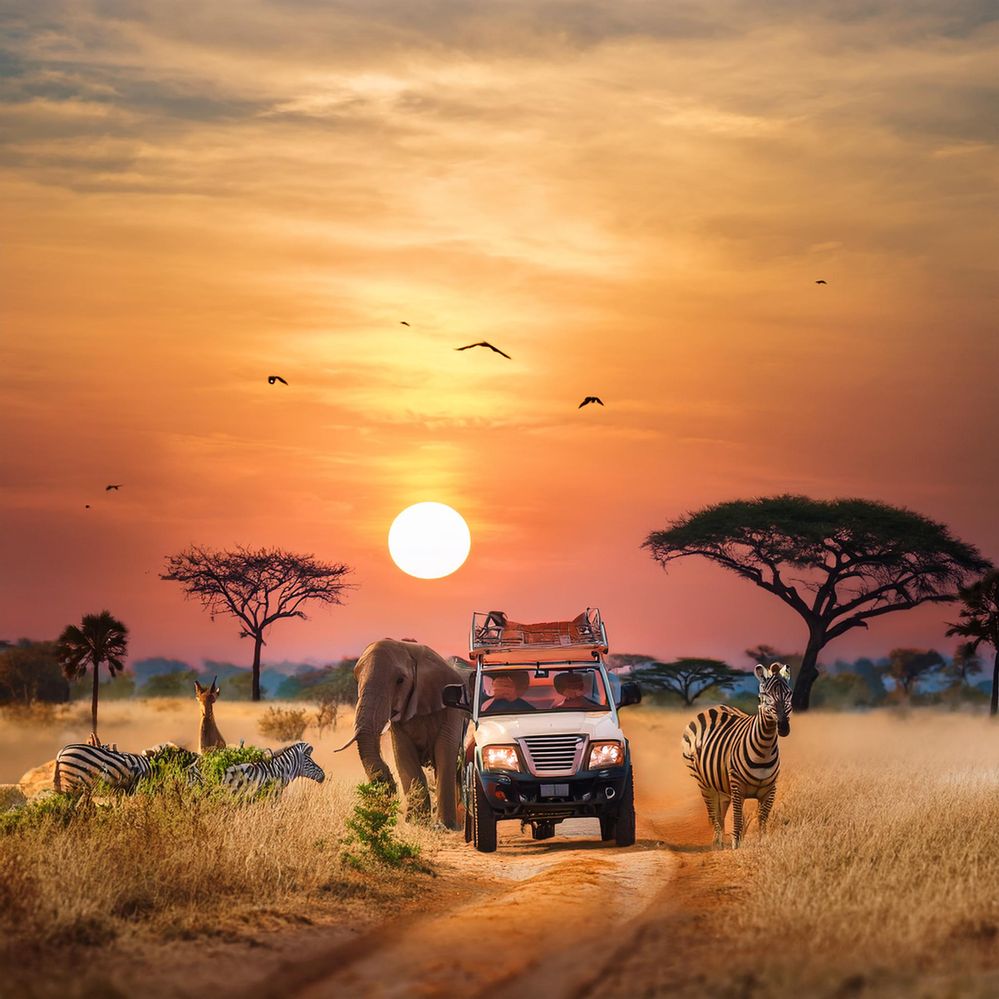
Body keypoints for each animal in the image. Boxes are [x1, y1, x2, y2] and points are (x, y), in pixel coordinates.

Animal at [340, 640, 468, 828]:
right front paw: (416, 823)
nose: (388, 784)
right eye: (356, 679)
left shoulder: (452, 707)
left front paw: (444, 827)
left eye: (400, 680)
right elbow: (403, 755)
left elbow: (445, 752)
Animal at [684, 664, 792, 852]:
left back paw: (721, 839)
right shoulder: (737, 786)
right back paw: (717, 842)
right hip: (703, 782)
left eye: (789, 693)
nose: (783, 727)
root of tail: (715, 707)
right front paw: (736, 843)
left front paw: (762, 842)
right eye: (764, 695)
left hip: (722, 784)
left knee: (721, 812)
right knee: (713, 811)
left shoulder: (770, 789)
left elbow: (762, 818)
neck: (764, 749)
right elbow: (737, 816)